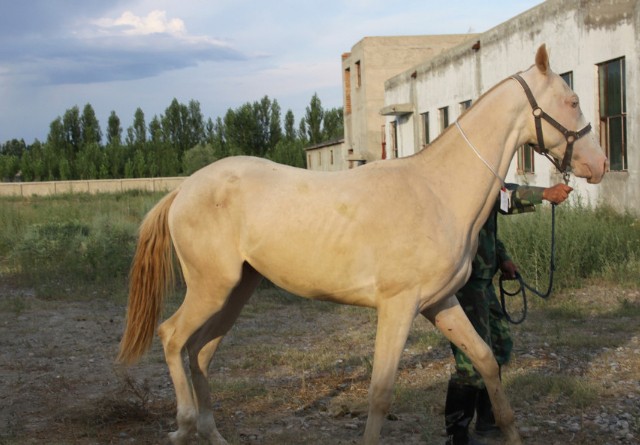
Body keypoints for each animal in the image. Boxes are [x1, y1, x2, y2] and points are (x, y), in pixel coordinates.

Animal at [119, 46, 604, 444]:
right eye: (572, 99)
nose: (598, 164)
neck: (438, 191)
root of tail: (183, 190)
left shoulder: (440, 302)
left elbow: (485, 362)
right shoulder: (398, 307)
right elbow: (381, 392)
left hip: (236, 290)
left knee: (200, 352)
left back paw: (210, 432)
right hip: (211, 288)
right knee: (172, 337)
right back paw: (183, 425)